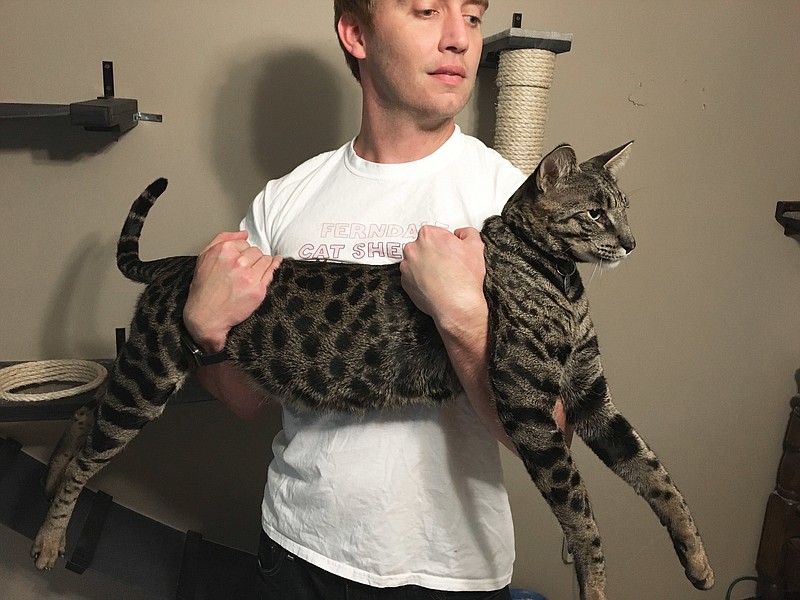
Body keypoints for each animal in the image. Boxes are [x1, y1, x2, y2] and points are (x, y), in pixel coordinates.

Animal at [34, 143, 716, 596]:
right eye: (597, 214)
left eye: (624, 209)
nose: (631, 242)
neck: (564, 284)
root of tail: (179, 262)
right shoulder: (528, 404)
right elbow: (582, 516)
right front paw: (596, 584)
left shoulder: (591, 400)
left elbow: (660, 478)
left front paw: (697, 559)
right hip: (150, 378)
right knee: (94, 448)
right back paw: (48, 533)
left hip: (152, 375)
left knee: (89, 411)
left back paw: (52, 473)